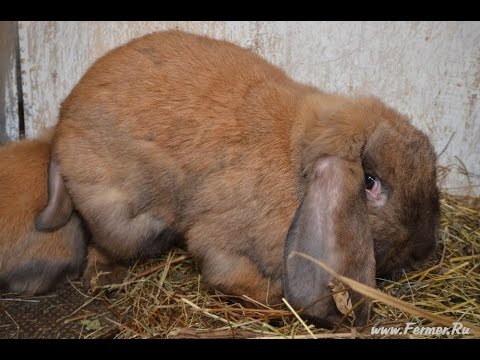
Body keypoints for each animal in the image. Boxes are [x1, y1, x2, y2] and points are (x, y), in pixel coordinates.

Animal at [35, 31, 440, 326]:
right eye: (370, 182)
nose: (424, 248)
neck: (296, 163)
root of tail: (62, 122)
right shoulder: (223, 249)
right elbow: (237, 280)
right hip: (122, 221)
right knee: (102, 242)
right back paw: (108, 276)